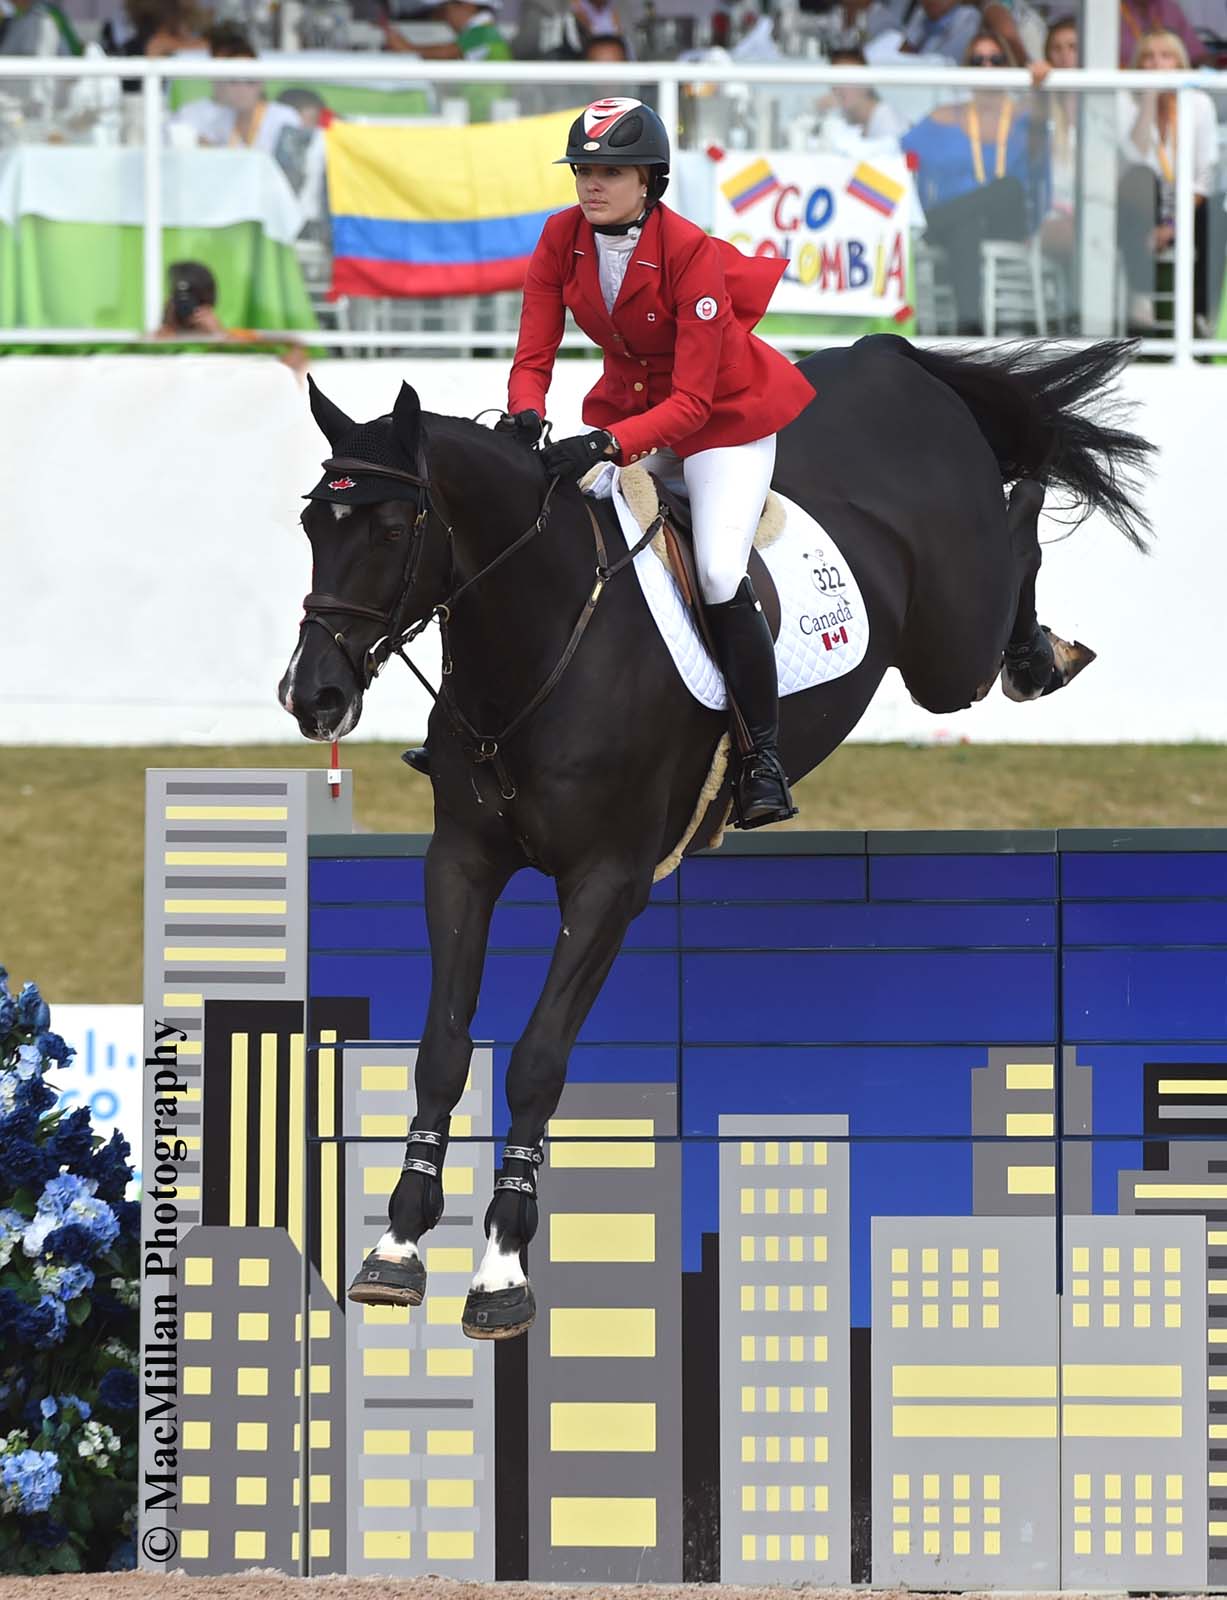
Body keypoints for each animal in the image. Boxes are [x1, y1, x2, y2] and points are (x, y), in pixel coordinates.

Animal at [275, 334, 1151, 1337]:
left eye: (388, 530)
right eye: (312, 524)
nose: (313, 695)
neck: (538, 642)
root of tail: (886, 355)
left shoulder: (609, 883)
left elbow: (535, 1061)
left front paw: (501, 1264)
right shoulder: (459, 864)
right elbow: (441, 1053)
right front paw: (399, 1242)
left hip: (949, 651)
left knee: (1022, 513)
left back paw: (1043, 651)